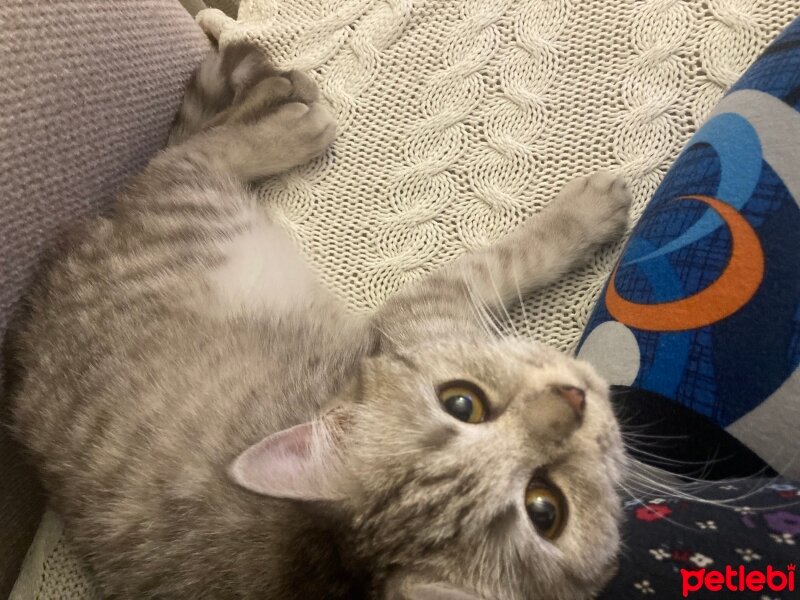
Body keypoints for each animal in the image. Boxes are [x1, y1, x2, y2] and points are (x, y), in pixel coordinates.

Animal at [10, 42, 632, 600]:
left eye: (462, 403)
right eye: (543, 509)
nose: (572, 399)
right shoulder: (424, 307)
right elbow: (512, 259)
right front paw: (585, 216)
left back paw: (277, 93)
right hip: (201, 208)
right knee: (195, 152)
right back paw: (292, 122)